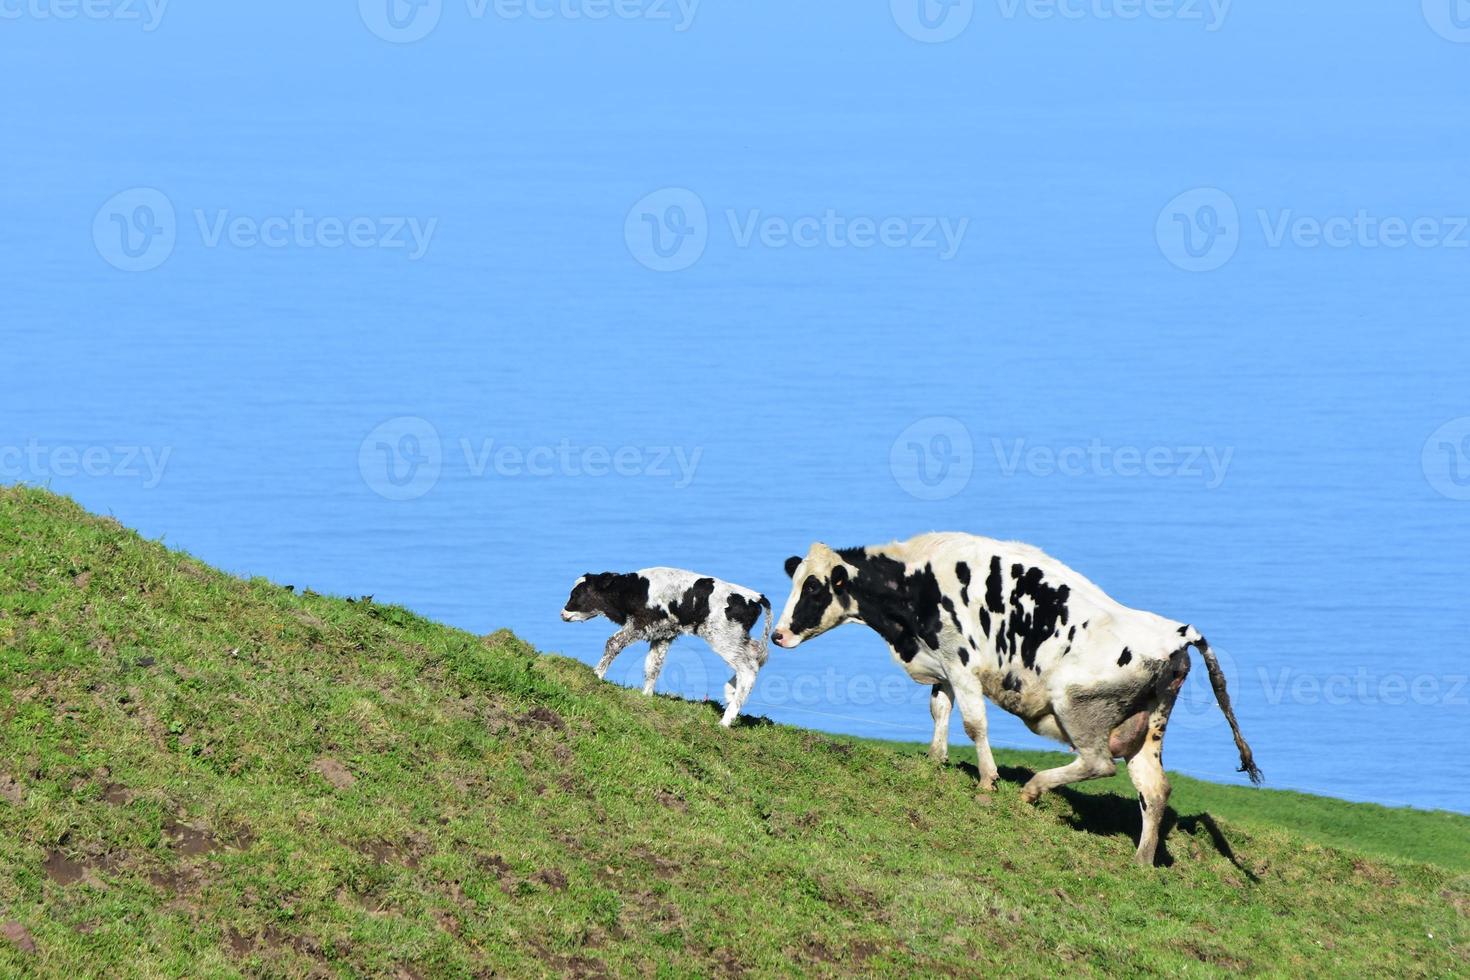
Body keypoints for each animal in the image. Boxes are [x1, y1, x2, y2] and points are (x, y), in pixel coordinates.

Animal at [555, 567, 776, 728]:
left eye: (576, 594)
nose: (562, 613)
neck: (636, 590)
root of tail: (755, 596)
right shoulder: (662, 635)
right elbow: (653, 666)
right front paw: (645, 696)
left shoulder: (639, 624)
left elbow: (613, 643)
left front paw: (596, 675)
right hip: (738, 638)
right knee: (755, 656)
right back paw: (729, 692)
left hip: (723, 637)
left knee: (748, 668)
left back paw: (726, 720)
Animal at [770, 537, 1264, 863]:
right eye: (796, 581)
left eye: (814, 588)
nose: (778, 634)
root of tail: (1176, 633)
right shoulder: (943, 663)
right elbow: (939, 707)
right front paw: (935, 759)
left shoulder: (962, 661)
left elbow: (974, 723)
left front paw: (987, 781)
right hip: (1148, 726)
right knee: (1154, 789)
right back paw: (1140, 862)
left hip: (1078, 707)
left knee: (1098, 763)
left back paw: (1033, 788)